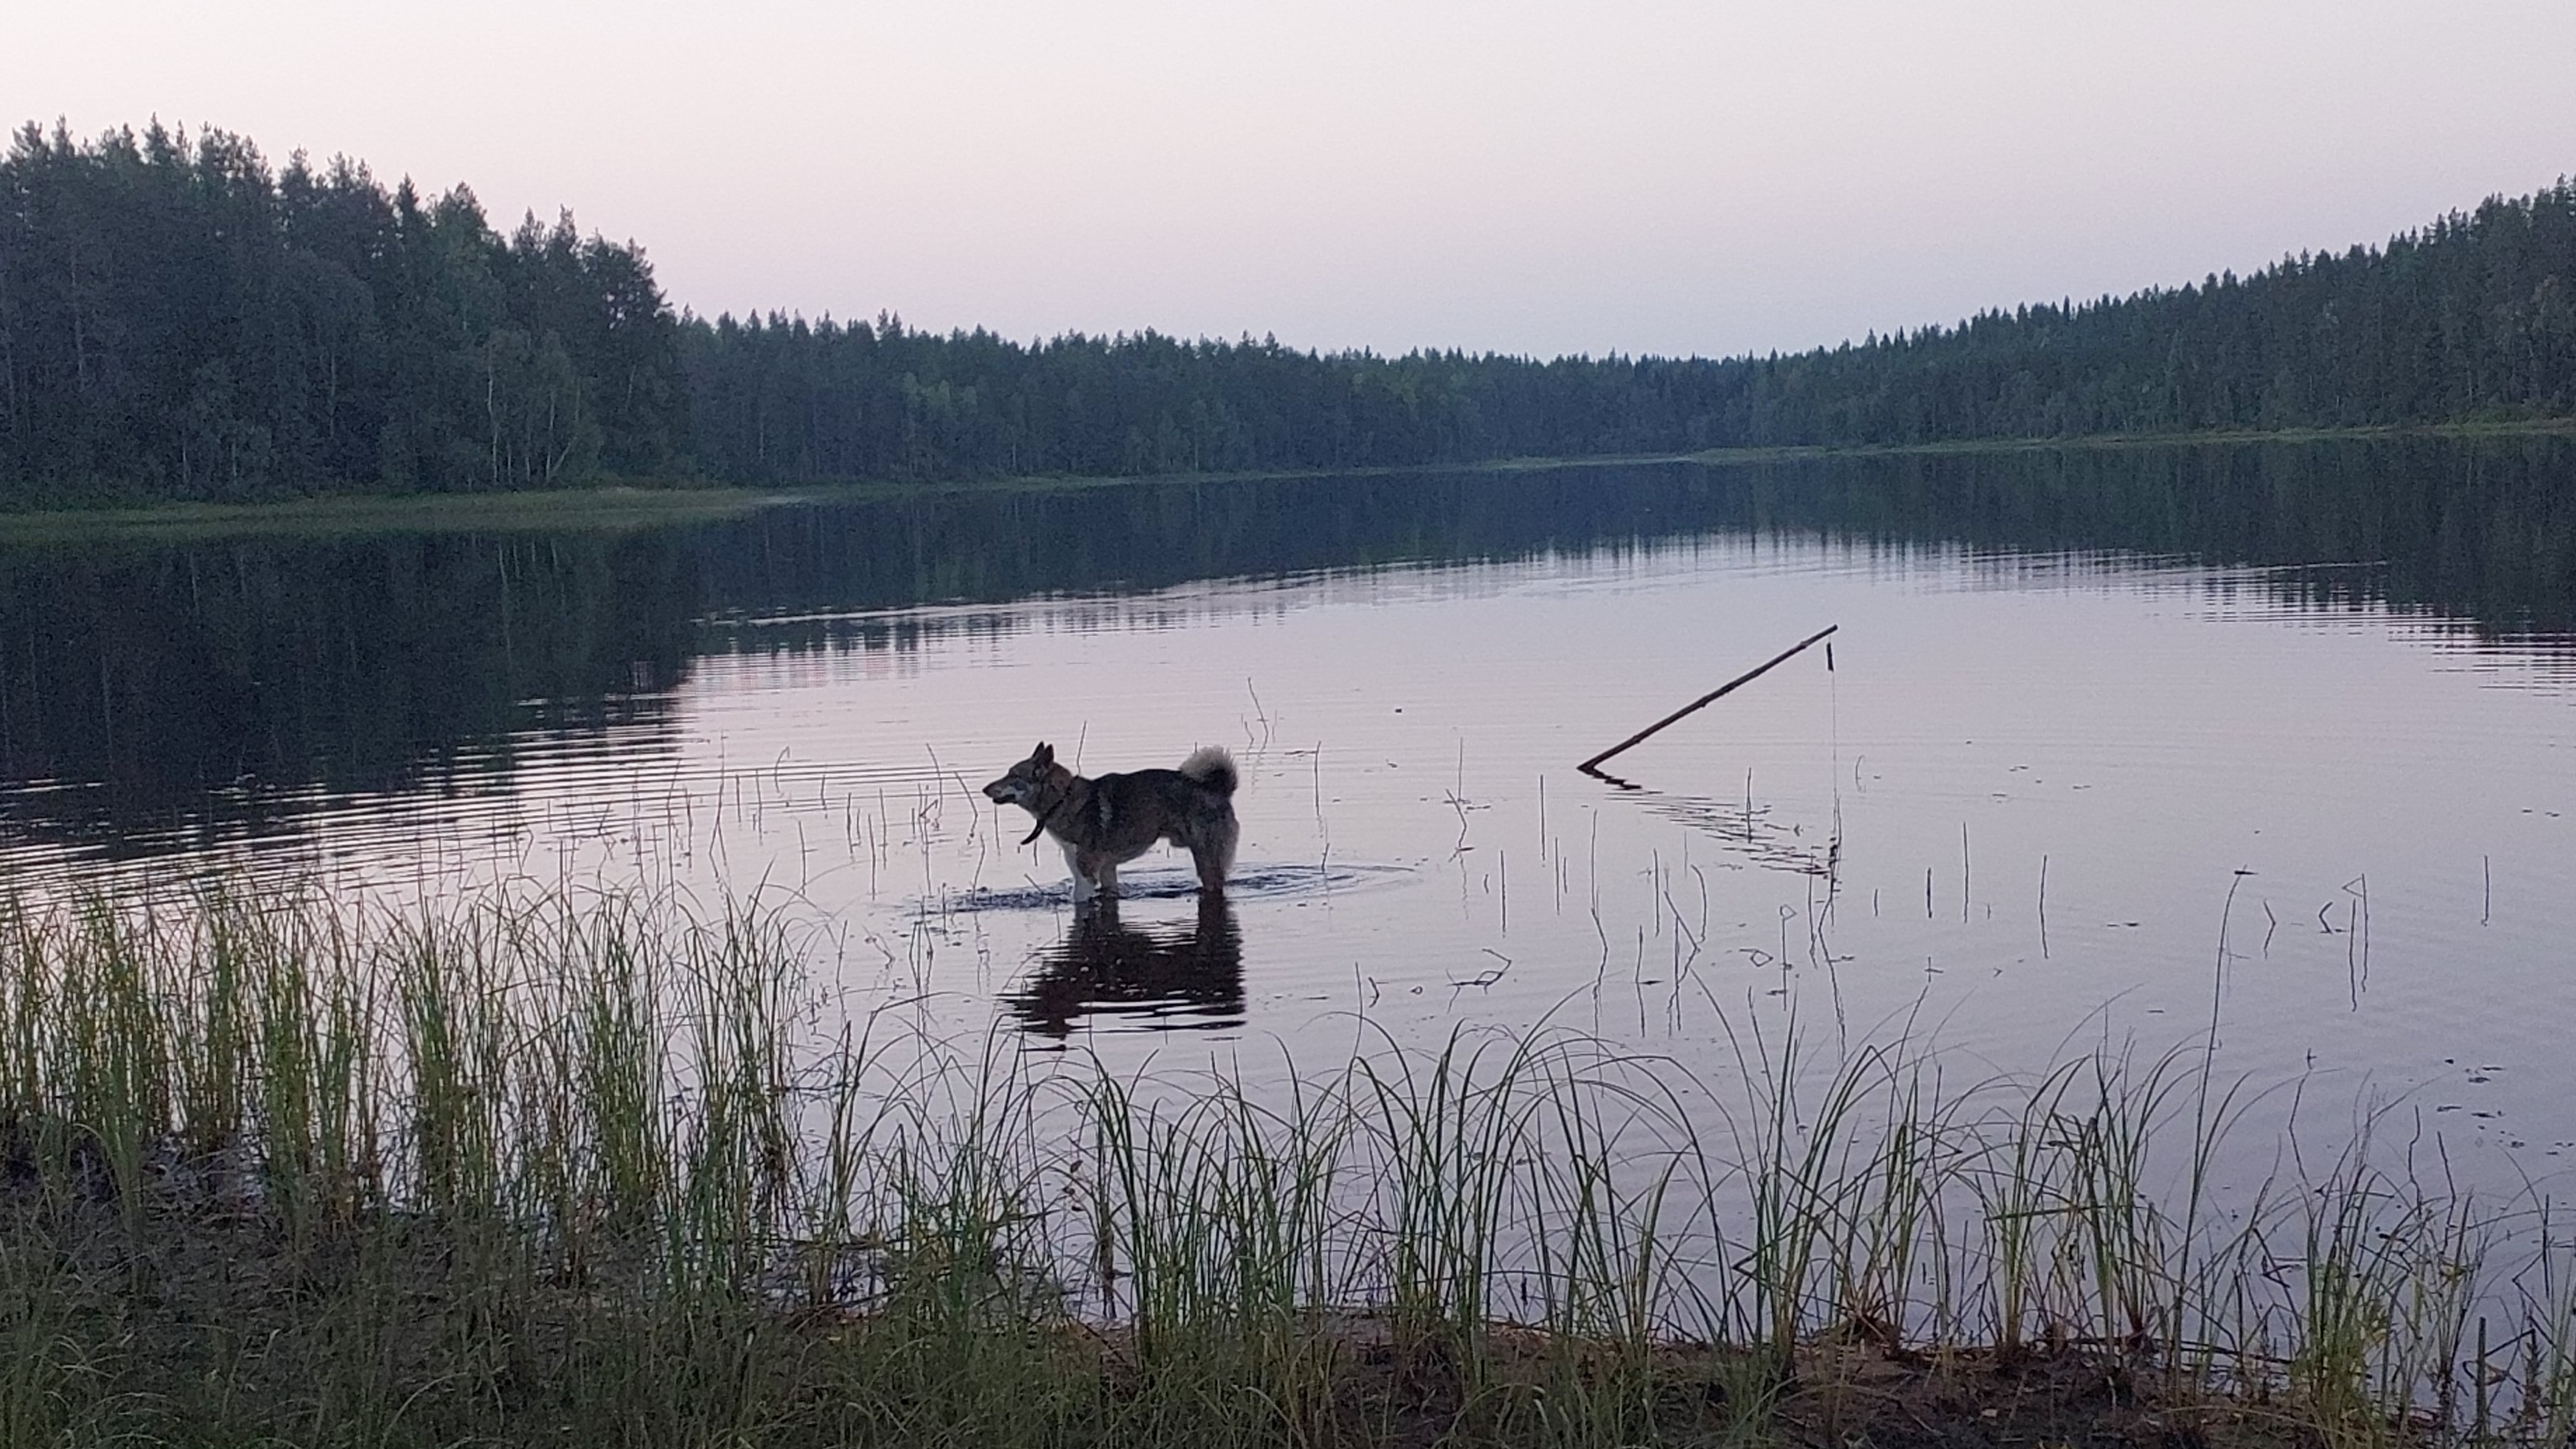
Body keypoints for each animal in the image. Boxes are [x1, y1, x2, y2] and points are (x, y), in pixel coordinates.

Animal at [973, 737, 1236, 897]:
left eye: (1013, 775)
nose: (984, 789)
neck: (1062, 801)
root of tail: (1217, 789)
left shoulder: (1086, 876)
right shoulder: (1107, 871)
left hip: (1207, 859)